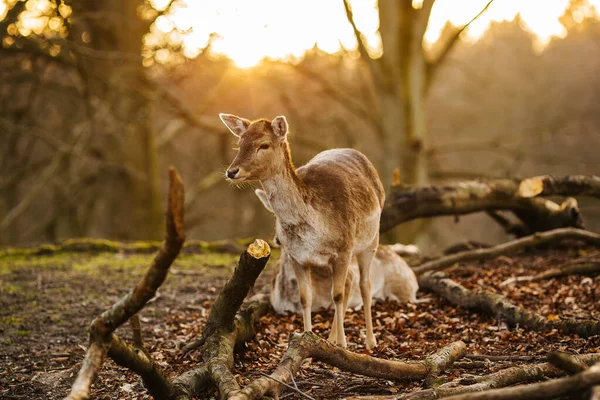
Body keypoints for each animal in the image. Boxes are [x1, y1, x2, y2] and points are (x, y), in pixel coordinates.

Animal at [220, 114, 384, 348]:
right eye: (239, 143)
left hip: (371, 239)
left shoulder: (344, 248)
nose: (232, 171)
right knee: (351, 280)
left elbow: (337, 294)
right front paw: (308, 338)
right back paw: (331, 338)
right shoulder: (297, 256)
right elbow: (306, 298)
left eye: (264, 145)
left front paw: (343, 344)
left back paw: (370, 341)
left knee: (364, 284)